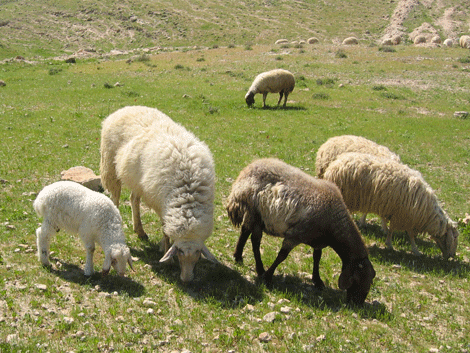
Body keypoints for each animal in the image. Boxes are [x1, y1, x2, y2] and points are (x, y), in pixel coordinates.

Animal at [100, 105, 218, 284]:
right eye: (180, 252)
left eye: (198, 254)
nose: (186, 279)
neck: (188, 195)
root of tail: (125, 108)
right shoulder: (161, 204)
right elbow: (165, 230)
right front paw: (167, 255)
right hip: (111, 165)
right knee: (116, 197)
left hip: (137, 180)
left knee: (134, 199)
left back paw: (140, 230)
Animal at [226, 158, 376, 304]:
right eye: (358, 279)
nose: (358, 304)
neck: (334, 224)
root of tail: (247, 170)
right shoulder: (295, 236)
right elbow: (282, 256)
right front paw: (268, 276)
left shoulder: (317, 241)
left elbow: (317, 258)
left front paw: (317, 280)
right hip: (255, 212)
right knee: (255, 242)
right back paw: (260, 269)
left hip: (256, 216)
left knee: (245, 231)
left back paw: (238, 257)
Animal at [324, 152, 458, 258]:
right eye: (454, 238)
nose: (452, 256)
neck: (426, 211)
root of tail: (334, 165)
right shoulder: (404, 216)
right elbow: (405, 233)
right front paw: (411, 249)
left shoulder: (402, 215)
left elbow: (396, 230)